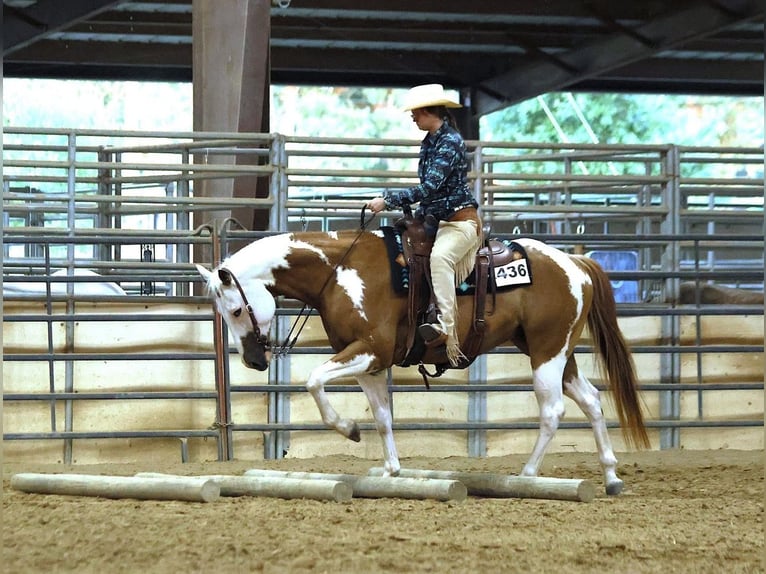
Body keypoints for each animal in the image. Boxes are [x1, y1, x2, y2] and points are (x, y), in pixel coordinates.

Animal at [196, 227, 650, 495]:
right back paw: (611, 477)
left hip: (547, 353)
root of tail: (575, 264)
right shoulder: (370, 363)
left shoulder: (371, 348)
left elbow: (314, 380)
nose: (254, 361)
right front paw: (391, 471)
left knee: (553, 409)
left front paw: (349, 430)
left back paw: (528, 474)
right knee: (591, 401)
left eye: (235, 310)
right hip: (555, 352)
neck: (341, 271)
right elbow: (383, 417)